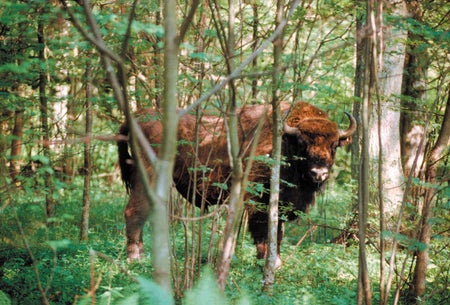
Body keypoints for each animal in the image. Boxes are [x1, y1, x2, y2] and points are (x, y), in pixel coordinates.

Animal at [118, 101, 356, 264]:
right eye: (302, 143)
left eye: (334, 145)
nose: (319, 173)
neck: (283, 141)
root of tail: (137, 117)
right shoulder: (260, 198)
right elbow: (263, 229)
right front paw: (268, 262)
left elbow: (277, 232)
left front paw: (274, 260)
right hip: (147, 176)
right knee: (134, 211)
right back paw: (135, 257)